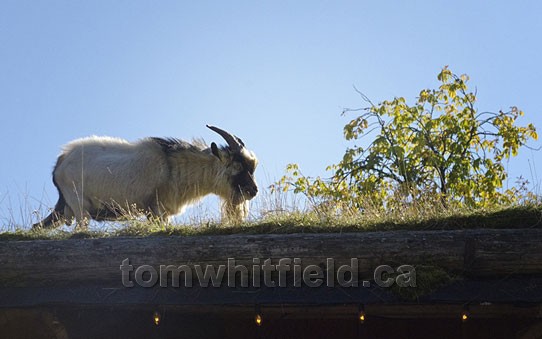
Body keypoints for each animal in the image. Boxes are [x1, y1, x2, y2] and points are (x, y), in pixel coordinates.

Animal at [33, 126, 260, 230]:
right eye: (237, 166)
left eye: (252, 168)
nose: (253, 191)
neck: (171, 166)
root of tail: (59, 164)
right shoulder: (154, 209)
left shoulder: (164, 212)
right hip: (78, 204)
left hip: (66, 207)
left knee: (39, 225)